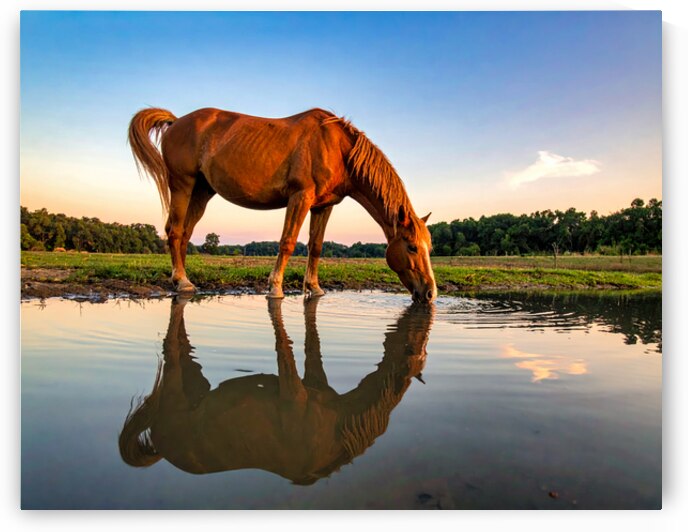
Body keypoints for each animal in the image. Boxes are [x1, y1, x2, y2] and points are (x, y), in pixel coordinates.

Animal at [118, 296, 435, 484]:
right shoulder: (295, 393)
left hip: (195, 384)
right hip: (176, 388)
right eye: (409, 351)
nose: (427, 300)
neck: (336, 429)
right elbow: (287, 352)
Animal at [128, 107, 437, 302]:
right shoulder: (300, 197)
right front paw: (275, 287)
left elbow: (316, 247)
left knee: (184, 233)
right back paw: (182, 281)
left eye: (429, 247)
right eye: (411, 246)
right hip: (182, 185)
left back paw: (182, 281)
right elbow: (287, 242)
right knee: (175, 231)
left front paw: (314, 288)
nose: (431, 293)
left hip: (202, 192)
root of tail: (176, 121)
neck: (337, 148)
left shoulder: (323, 206)